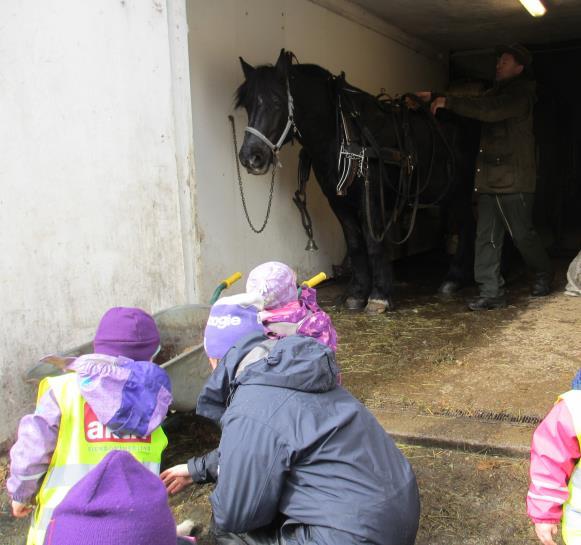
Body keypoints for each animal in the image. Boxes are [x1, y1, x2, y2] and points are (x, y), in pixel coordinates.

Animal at [233, 51, 478, 314]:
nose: (251, 157)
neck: (341, 131)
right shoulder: (338, 201)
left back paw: (454, 278)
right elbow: (355, 243)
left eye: (277, 102)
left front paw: (379, 295)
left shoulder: (370, 198)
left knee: (468, 225)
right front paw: (357, 293)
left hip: (460, 191)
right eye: (247, 105)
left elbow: (373, 243)